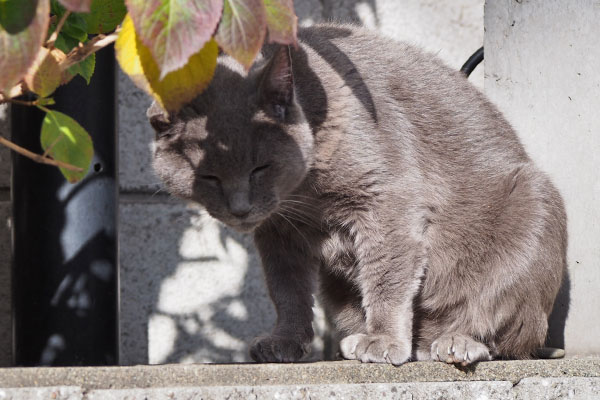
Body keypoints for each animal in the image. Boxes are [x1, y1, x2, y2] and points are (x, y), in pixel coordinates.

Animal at [149, 23, 568, 364]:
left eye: (259, 168)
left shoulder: (388, 200)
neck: (304, 194)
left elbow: (386, 274)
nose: (240, 209)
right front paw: (284, 341)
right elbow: (285, 288)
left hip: (534, 204)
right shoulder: (278, 232)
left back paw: (457, 342)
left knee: (506, 331)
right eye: (209, 176)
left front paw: (382, 341)